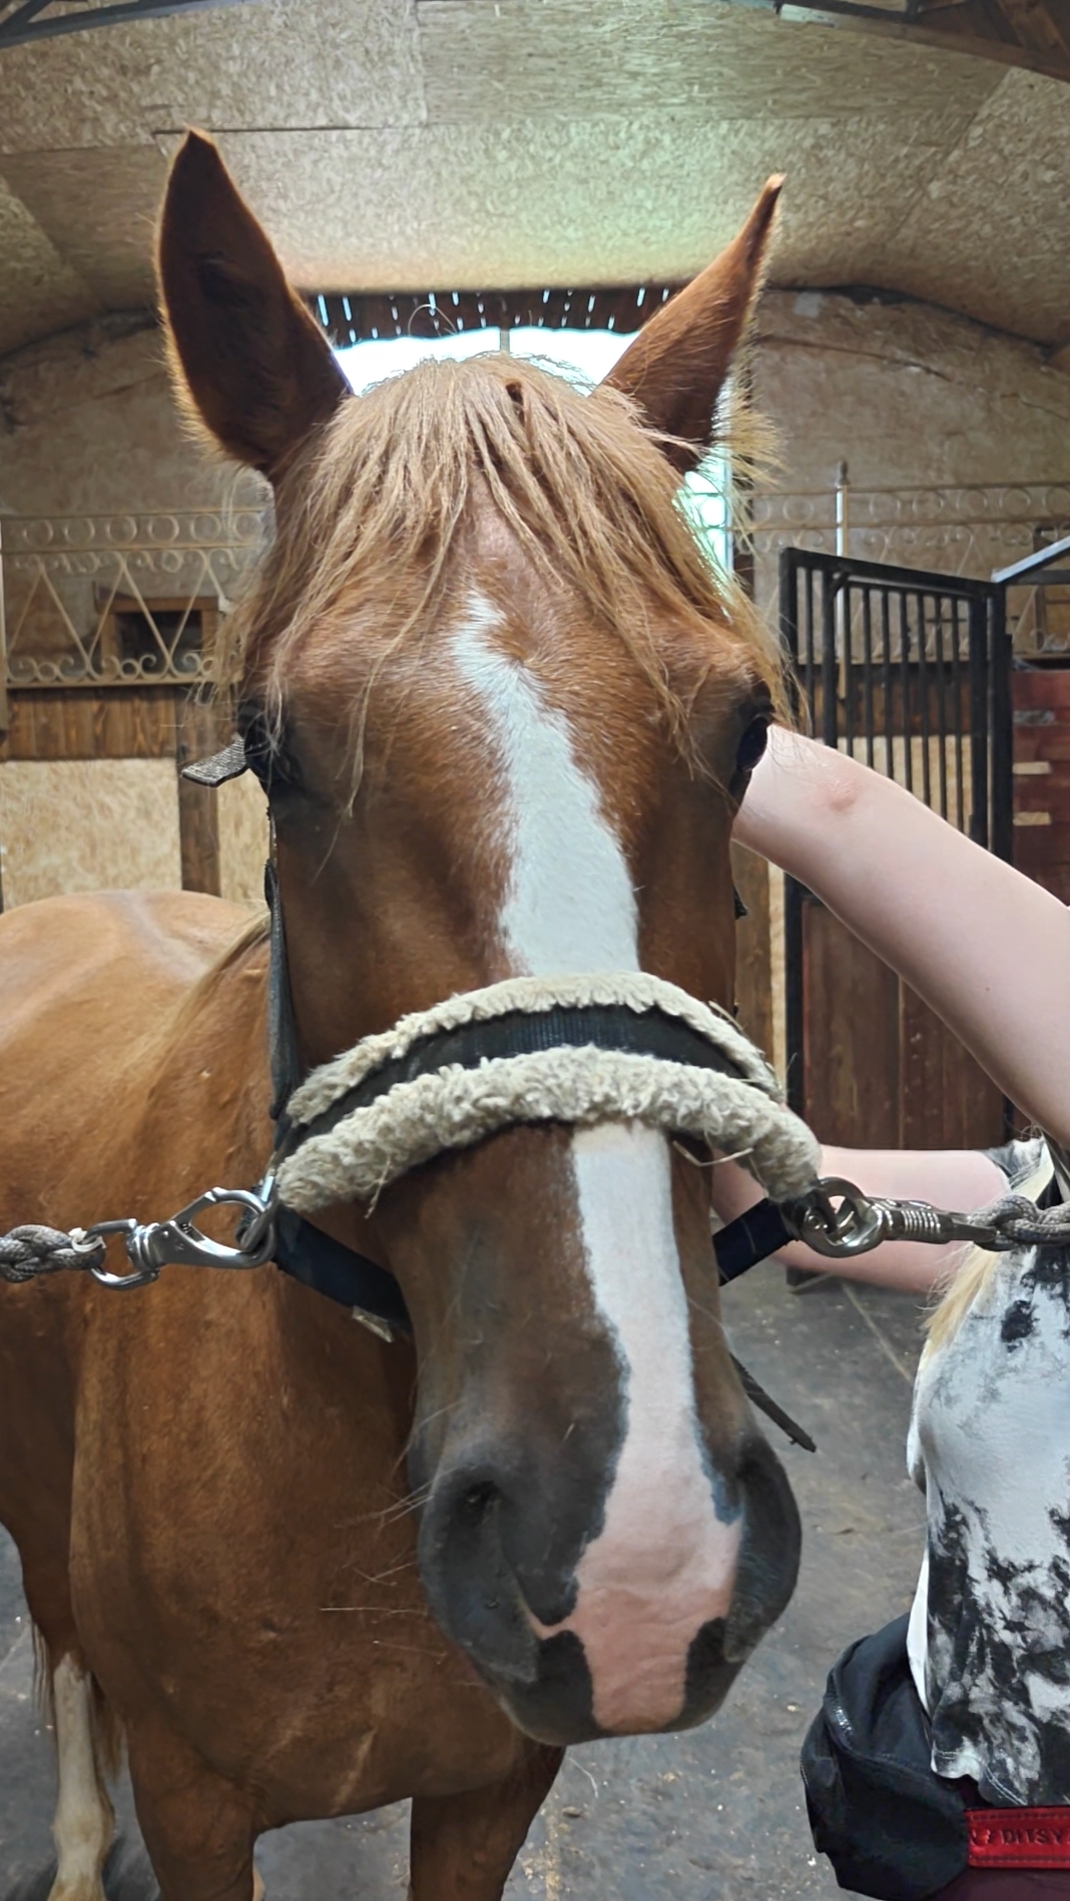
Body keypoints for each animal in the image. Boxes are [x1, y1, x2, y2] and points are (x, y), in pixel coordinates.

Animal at [0, 134, 807, 1901]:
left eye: (748, 727)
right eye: (271, 744)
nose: (634, 1545)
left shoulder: (490, 1791)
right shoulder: (199, 1805)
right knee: (57, 1635)